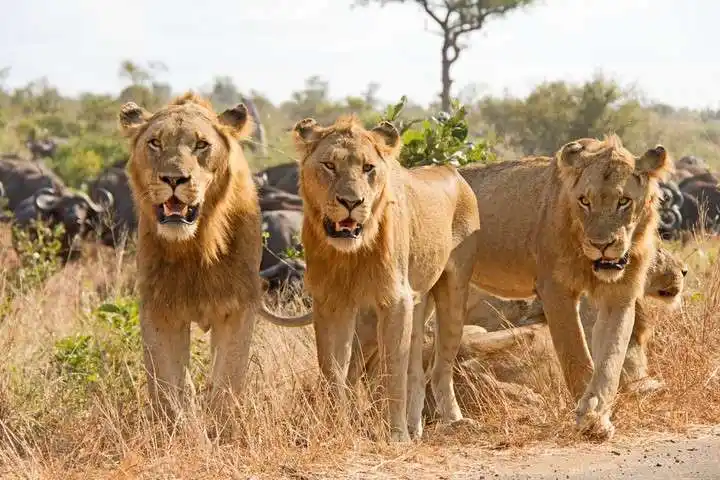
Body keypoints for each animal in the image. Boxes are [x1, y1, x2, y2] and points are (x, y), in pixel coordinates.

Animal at [117, 93, 311, 415]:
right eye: (155, 143)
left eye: (201, 145)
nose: (174, 179)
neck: (195, 244)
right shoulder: (158, 306)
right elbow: (167, 386)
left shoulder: (239, 305)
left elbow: (227, 381)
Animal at [291, 115, 481, 442]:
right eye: (329, 165)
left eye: (369, 168)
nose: (351, 202)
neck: (350, 254)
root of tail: (451, 170)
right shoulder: (330, 301)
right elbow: (333, 369)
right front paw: (338, 429)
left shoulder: (395, 299)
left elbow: (393, 370)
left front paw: (397, 437)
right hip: (418, 303)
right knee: (416, 371)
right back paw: (416, 428)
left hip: (454, 291)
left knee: (441, 368)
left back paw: (454, 422)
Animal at [458, 135, 672, 440]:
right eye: (585, 201)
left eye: (623, 201)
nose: (601, 245)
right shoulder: (555, 290)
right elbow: (576, 355)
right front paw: (587, 418)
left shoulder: (619, 295)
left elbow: (610, 358)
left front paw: (598, 415)